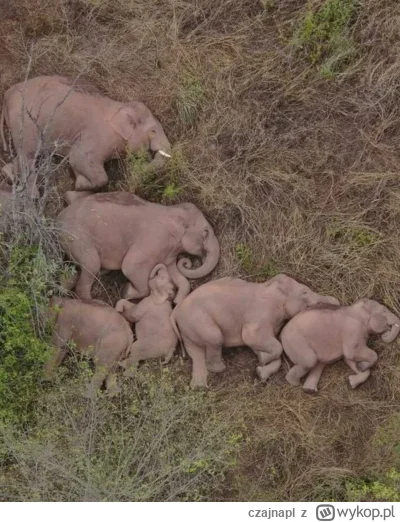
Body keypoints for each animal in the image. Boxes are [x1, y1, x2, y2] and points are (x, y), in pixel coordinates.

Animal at [0, 76, 172, 197]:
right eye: (153, 131)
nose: (132, 172)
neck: (120, 106)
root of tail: (7, 96)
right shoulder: (96, 136)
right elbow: (77, 159)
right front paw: (78, 186)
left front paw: (79, 183)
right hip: (24, 121)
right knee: (28, 155)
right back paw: (34, 196)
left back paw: (9, 175)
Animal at [57, 189, 220, 302]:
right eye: (206, 232)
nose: (188, 262)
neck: (170, 209)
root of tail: (58, 219)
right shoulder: (154, 239)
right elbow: (130, 266)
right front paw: (126, 291)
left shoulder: (168, 251)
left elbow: (177, 275)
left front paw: (177, 300)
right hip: (76, 236)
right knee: (91, 264)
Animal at [170, 272, 340, 386]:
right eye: (304, 292)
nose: (337, 302)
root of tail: (175, 312)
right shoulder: (260, 314)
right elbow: (253, 338)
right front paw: (263, 360)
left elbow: (259, 345)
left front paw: (260, 369)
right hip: (198, 320)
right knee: (215, 338)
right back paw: (220, 368)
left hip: (188, 330)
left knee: (196, 353)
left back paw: (199, 384)